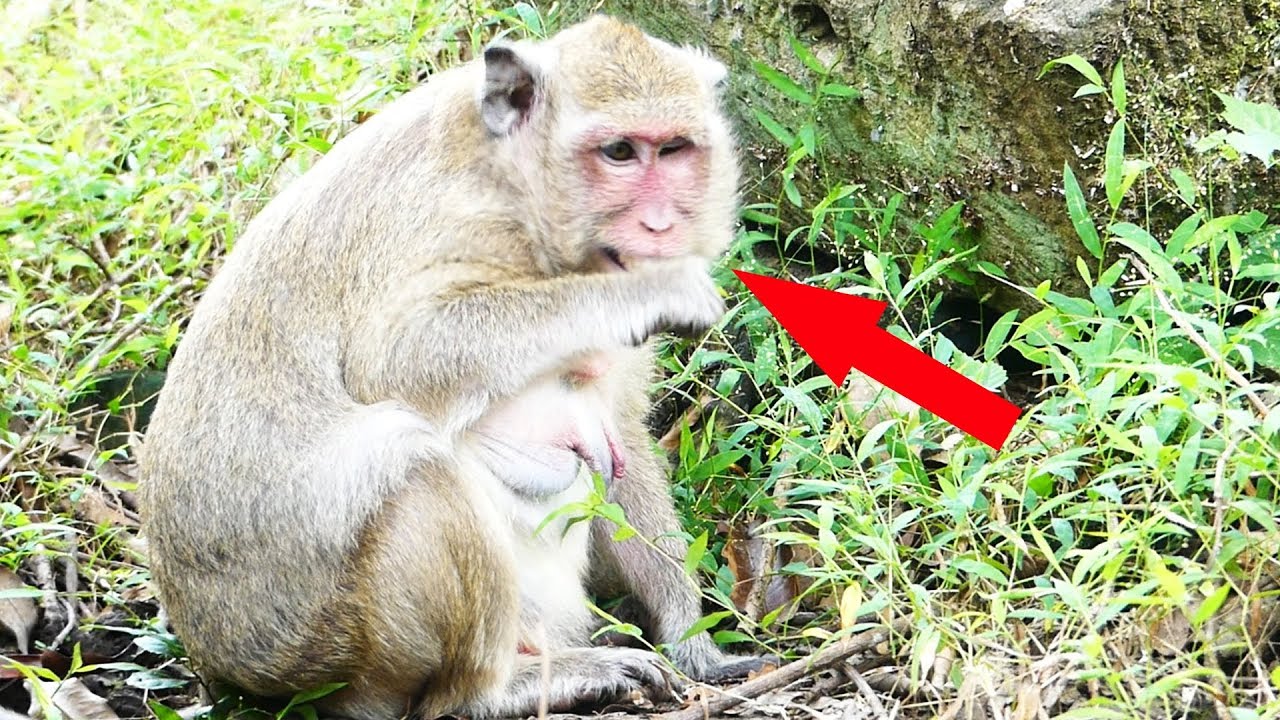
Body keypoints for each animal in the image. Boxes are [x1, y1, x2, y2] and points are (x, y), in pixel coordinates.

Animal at [139, 15, 769, 720]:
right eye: (619, 153)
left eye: (674, 150)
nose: (660, 226)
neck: (513, 181)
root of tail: (222, 664)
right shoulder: (461, 224)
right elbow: (395, 357)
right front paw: (653, 291)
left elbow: (620, 435)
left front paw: (692, 641)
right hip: (328, 647)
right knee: (415, 463)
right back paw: (494, 691)